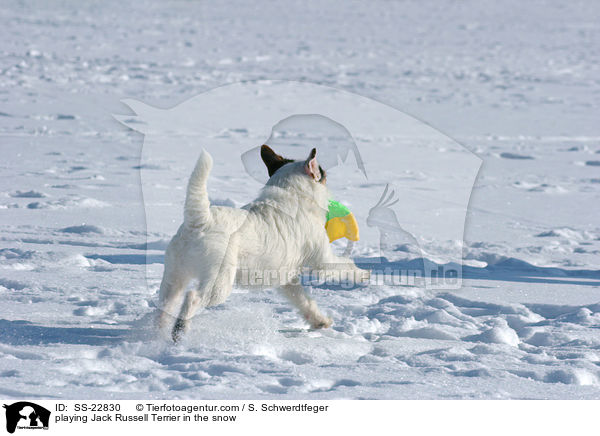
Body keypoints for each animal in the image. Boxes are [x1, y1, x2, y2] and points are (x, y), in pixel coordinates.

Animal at [157, 145, 368, 342]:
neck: (294, 194)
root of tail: (200, 221)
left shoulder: (287, 279)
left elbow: (304, 300)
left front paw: (319, 321)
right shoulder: (322, 261)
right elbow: (345, 265)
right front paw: (364, 274)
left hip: (174, 278)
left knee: (165, 305)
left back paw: (158, 330)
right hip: (218, 283)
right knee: (193, 298)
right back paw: (179, 331)